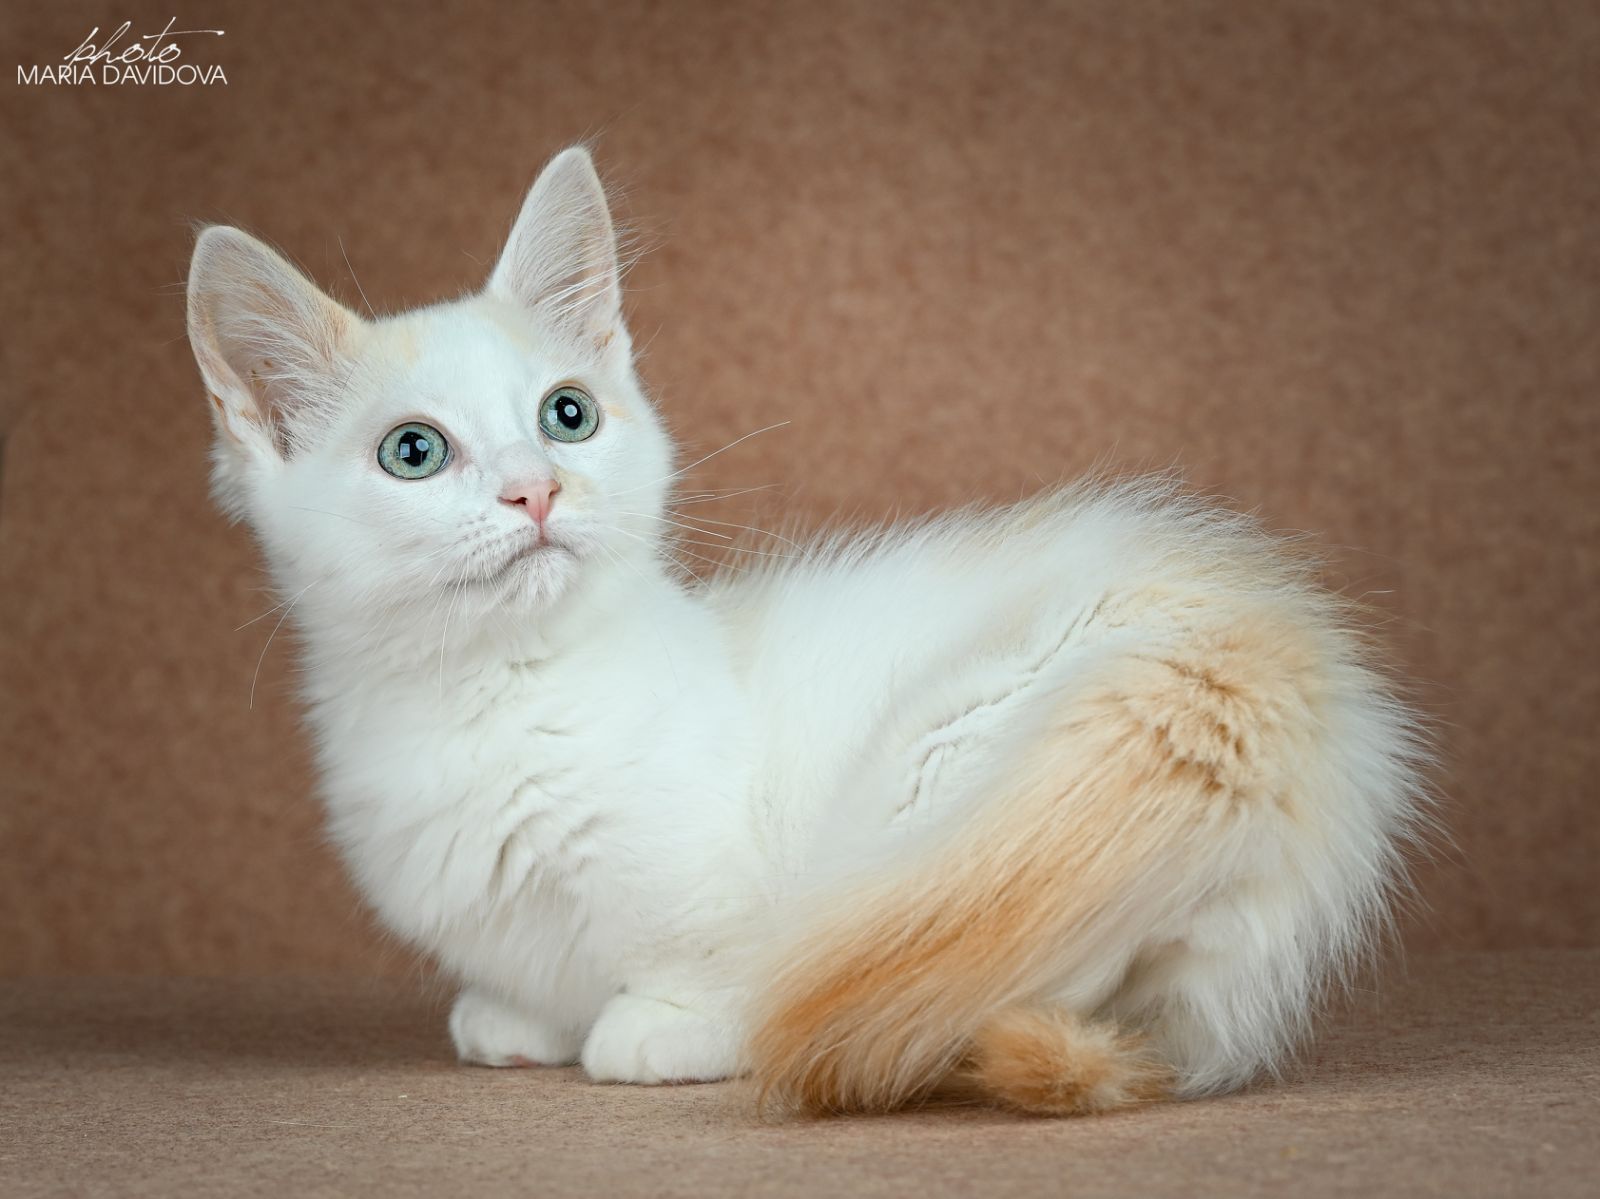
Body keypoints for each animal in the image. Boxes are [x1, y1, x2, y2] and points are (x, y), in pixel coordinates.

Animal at [187, 147, 1427, 1114]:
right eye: (415, 451)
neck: (494, 688)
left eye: (566, 415)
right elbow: (527, 983)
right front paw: (515, 1018)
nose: (535, 489)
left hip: (948, 778)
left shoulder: (720, 874)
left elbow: (704, 953)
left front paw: (661, 1026)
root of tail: (1251, 669)